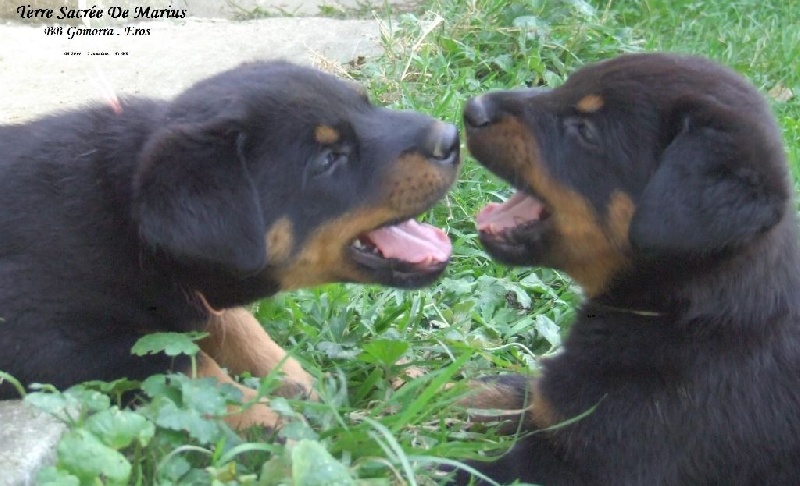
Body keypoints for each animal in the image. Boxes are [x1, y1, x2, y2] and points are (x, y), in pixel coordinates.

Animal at [0, 61, 460, 430]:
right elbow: (179, 360)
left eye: (366, 105)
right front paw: (269, 421)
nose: (452, 137)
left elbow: (234, 325)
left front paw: (295, 380)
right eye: (327, 159)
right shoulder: (40, 338)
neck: (130, 226)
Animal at [456, 51, 800, 484]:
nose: (473, 108)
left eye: (585, 130)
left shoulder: (584, 465)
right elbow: (515, 389)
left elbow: (461, 468)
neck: (678, 315)